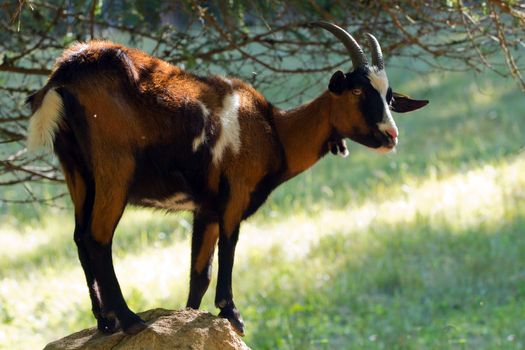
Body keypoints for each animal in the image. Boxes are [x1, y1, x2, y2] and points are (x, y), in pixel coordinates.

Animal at [25, 22, 426, 336]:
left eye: (389, 96)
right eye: (357, 90)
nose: (391, 136)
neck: (275, 131)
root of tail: (63, 75)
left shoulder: (205, 210)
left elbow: (198, 272)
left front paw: (191, 315)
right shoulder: (235, 196)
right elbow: (230, 249)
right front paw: (232, 313)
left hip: (77, 173)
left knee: (80, 237)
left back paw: (105, 321)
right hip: (114, 170)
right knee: (98, 238)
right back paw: (129, 319)